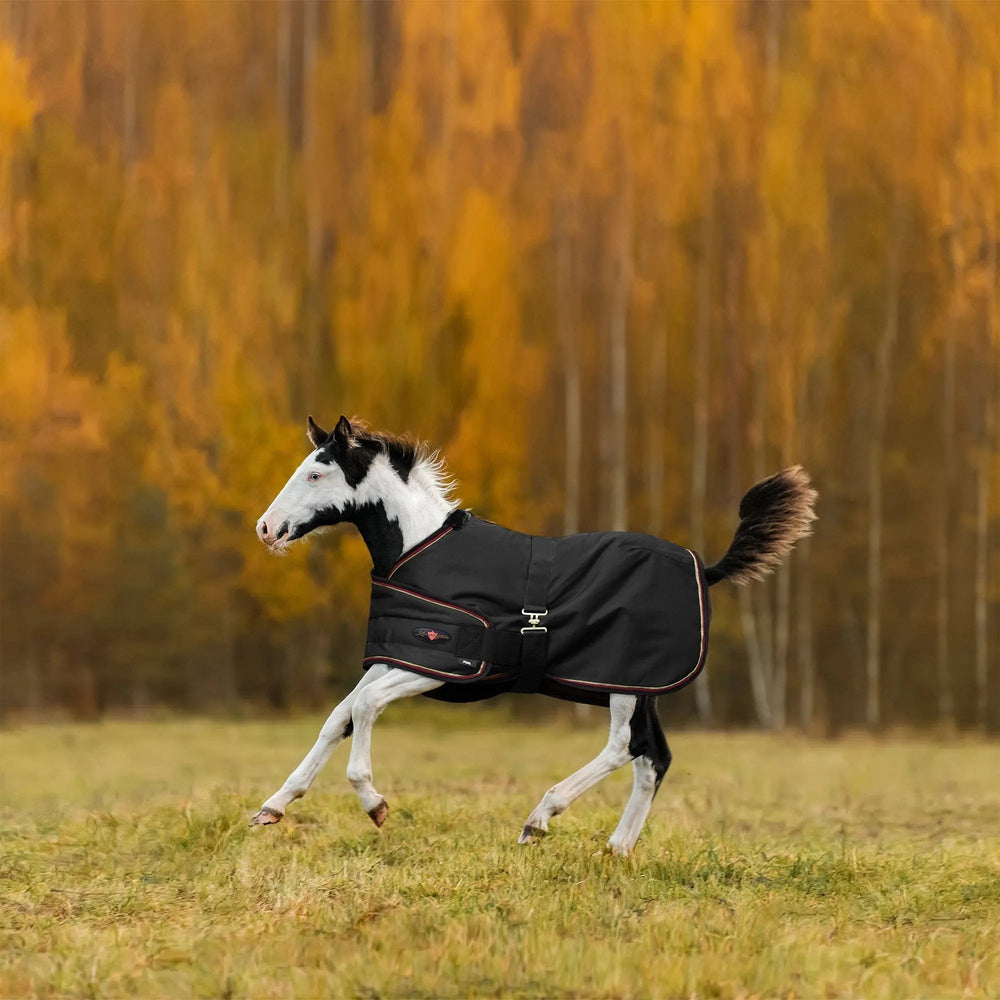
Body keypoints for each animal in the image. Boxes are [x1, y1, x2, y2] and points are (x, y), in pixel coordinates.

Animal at [251, 415, 817, 856]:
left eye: (316, 472)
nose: (266, 528)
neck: (420, 549)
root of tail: (707, 570)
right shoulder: (399, 658)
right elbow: (340, 716)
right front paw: (273, 807)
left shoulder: (444, 667)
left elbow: (365, 709)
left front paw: (375, 804)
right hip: (643, 689)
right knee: (653, 758)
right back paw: (616, 850)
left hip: (623, 686)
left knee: (624, 747)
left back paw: (540, 818)